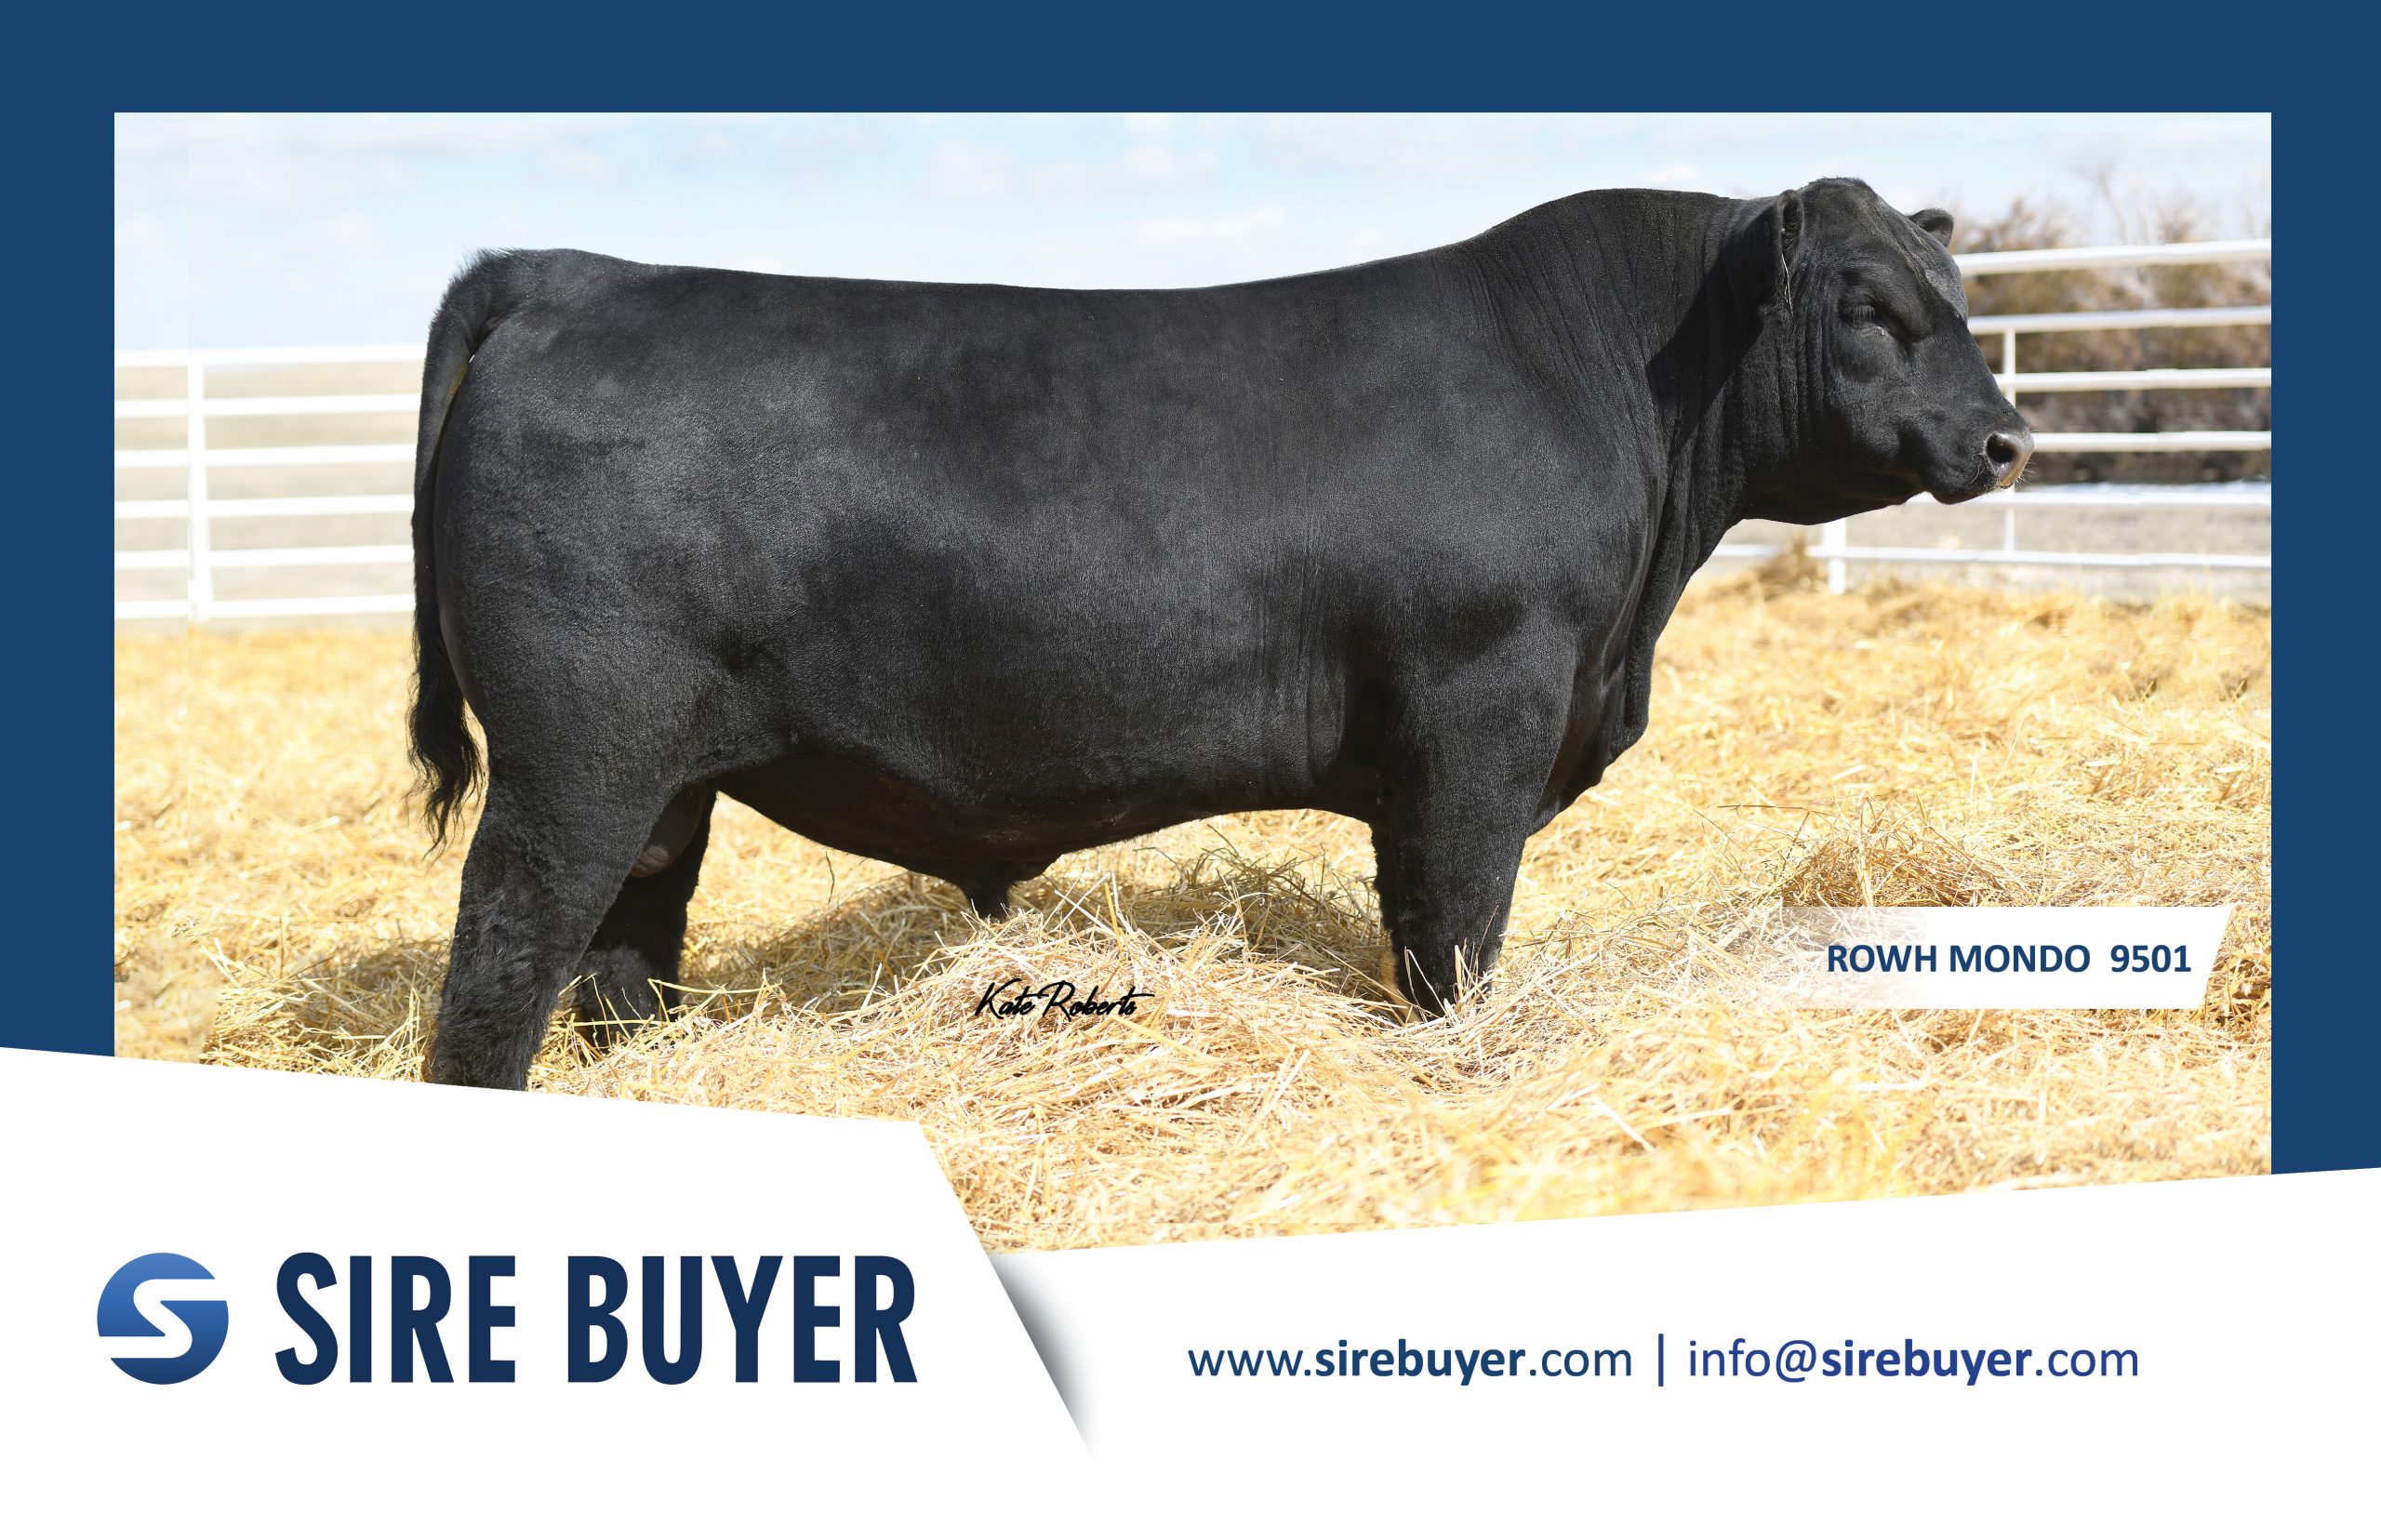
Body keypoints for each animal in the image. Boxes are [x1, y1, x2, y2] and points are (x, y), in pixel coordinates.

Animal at [407, 176, 2032, 1090]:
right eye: (1869, 305)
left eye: (1958, 295)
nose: (2009, 438)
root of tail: (573, 273)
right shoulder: (1477, 715)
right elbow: (1452, 931)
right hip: (576, 759)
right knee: (502, 967)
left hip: (660, 786)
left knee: (624, 955)